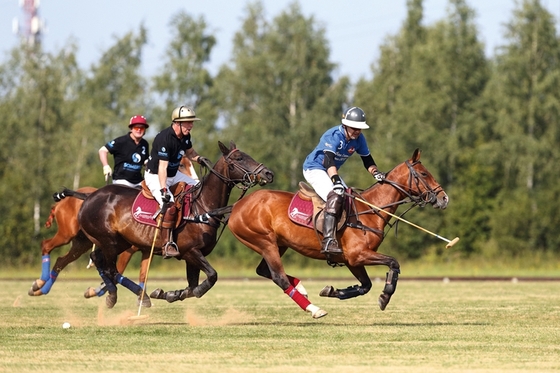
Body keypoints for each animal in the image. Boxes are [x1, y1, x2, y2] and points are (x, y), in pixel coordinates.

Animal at [66, 141, 272, 306]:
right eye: (239, 158)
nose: (268, 173)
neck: (202, 206)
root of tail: (88, 197)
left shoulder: (194, 255)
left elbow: (191, 287)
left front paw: (170, 293)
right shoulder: (190, 251)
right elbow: (210, 278)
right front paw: (171, 293)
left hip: (118, 242)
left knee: (98, 260)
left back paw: (122, 294)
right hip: (109, 240)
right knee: (110, 269)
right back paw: (126, 296)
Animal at [225, 148, 448, 316]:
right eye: (424, 174)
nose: (444, 198)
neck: (370, 210)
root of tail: (236, 206)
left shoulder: (352, 260)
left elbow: (366, 285)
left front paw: (332, 291)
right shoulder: (358, 255)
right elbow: (393, 263)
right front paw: (385, 296)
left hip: (278, 244)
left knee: (264, 271)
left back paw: (302, 288)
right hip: (264, 241)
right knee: (277, 276)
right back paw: (314, 309)